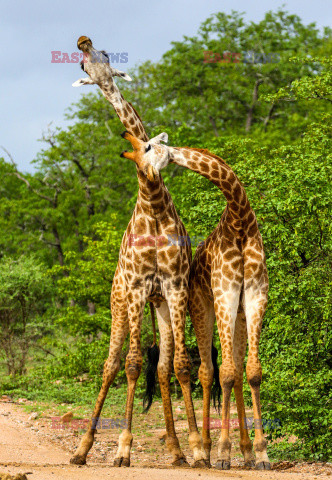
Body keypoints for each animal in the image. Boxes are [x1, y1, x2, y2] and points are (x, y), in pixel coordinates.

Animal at [69, 36, 208, 468]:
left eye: (105, 55)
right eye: (83, 66)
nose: (83, 41)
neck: (154, 204)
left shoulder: (174, 286)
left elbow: (180, 366)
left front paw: (196, 449)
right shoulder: (135, 288)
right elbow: (130, 365)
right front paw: (123, 448)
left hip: (158, 304)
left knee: (161, 367)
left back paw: (176, 449)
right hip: (120, 303)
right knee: (112, 364)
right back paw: (82, 450)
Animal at [123, 134, 272, 468]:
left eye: (148, 146)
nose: (162, 138)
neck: (240, 218)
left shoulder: (256, 294)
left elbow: (252, 372)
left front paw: (261, 453)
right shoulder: (224, 292)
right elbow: (224, 374)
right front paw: (223, 452)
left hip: (238, 313)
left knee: (236, 370)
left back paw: (243, 451)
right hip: (201, 308)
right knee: (208, 371)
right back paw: (206, 448)